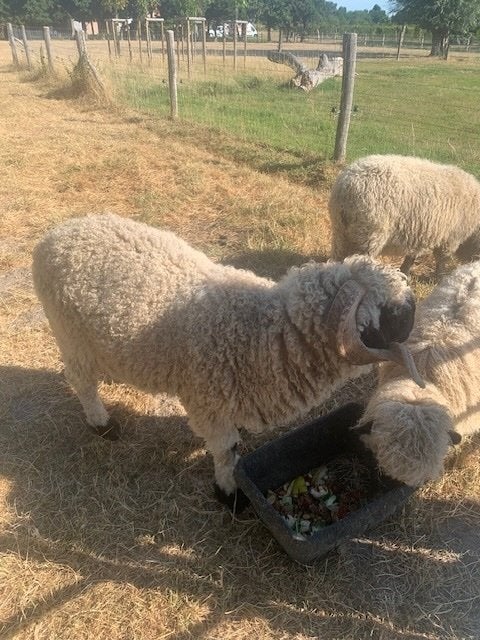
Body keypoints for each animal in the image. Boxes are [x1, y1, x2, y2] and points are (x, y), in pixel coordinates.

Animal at [32, 213, 422, 507]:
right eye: (385, 314)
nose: (416, 312)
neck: (263, 332)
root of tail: (58, 233)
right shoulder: (210, 404)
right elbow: (226, 451)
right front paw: (229, 494)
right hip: (70, 335)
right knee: (81, 381)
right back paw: (102, 424)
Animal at [329, 154, 480, 277]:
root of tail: (346, 187)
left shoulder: (419, 234)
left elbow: (411, 257)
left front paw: (405, 272)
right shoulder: (451, 237)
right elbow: (441, 259)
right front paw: (440, 277)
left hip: (340, 231)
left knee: (338, 257)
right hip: (369, 233)